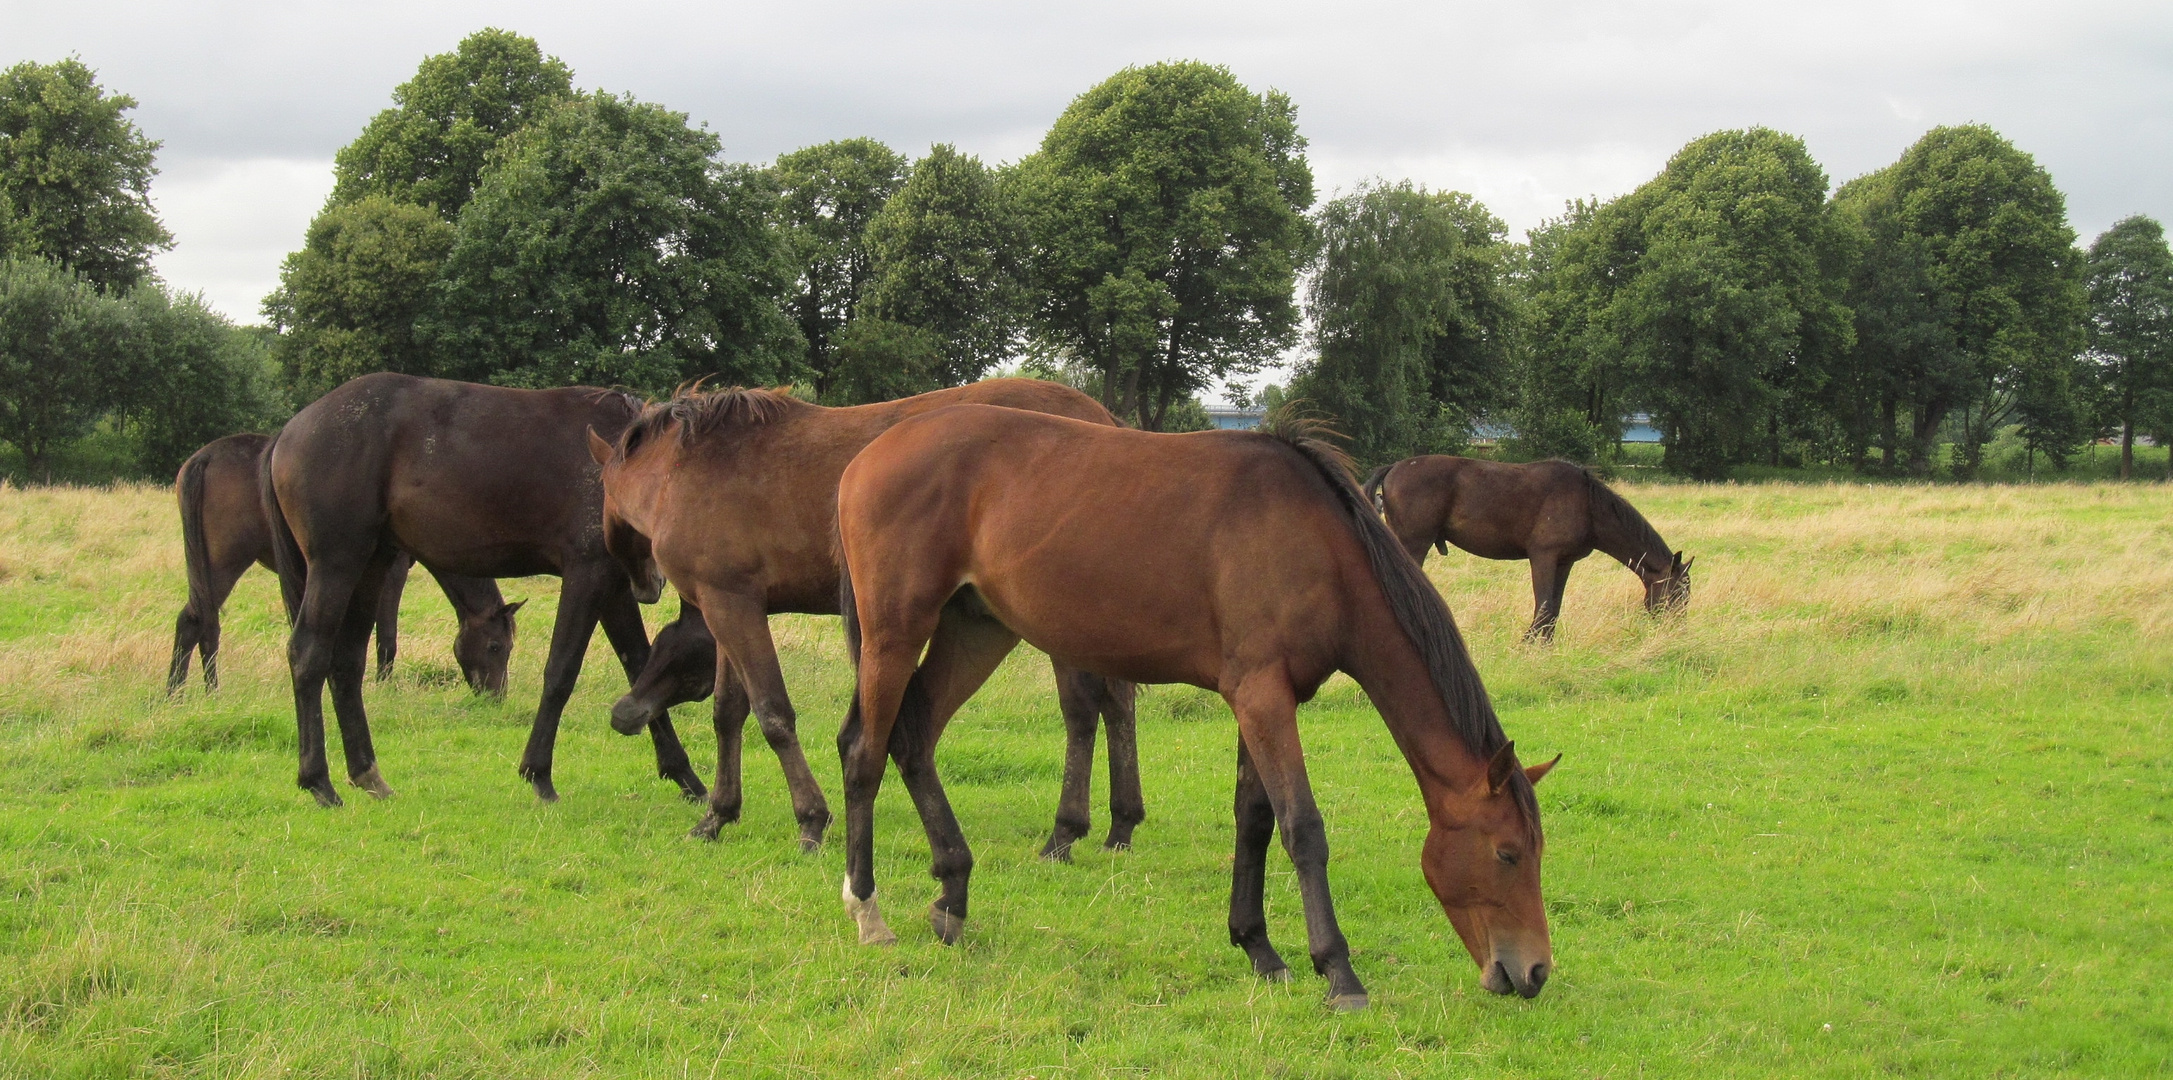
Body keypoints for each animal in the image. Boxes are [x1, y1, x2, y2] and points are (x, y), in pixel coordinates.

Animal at [165, 434, 517, 695]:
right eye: (497, 646)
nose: (496, 696)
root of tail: (205, 458)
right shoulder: (392, 572)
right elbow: (387, 637)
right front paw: (383, 686)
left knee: (200, 623)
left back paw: (192, 692)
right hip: (226, 562)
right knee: (197, 622)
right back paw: (192, 693)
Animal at [261, 373, 704, 804]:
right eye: (494, 647)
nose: (655, 584)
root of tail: (289, 431)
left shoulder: (613, 586)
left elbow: (638, 663)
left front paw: (686, 776)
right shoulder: (588, 573)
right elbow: (561, 671)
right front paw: (539, 775)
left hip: (371, 565)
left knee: (347, 664)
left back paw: (368, 775)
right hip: (336, 564)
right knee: (308, 654)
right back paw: (319, 781)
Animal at [586, 378, 1147, 860]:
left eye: (675, 660)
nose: (623, 715)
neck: (685, 470)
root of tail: (1105, 419)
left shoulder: (732, 603)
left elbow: (773, 714)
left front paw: (811, 820)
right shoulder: (727, 604)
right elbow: (729, 712)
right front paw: (717, 816)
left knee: (1081, 710)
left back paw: (1067, 830)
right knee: (1118, 704)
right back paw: (1120, 825)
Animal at [830, 406, 1564, 1008]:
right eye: (1506, 854)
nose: (1532, 973)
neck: (1318, 544)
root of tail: (865, 459)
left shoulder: (1260, 697)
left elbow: (1255, 819)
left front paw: (1259, 948)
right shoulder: (1263, 696)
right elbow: (1303, 828)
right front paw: (1338, 972)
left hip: (975, 630)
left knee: (914, 739)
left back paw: (952, 897)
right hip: (896, 632)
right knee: (865, 753)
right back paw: (868, 913)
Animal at [1355, 454, 1694, 638]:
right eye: (1678, 592)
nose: (1677, 628)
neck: (1587, 503)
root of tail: (1395, 467)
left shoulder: (1564, 562)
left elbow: (1554, 607)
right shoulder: (1544, 556)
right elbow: (1543, 604)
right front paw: (1529, 643)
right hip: (1413, 544)